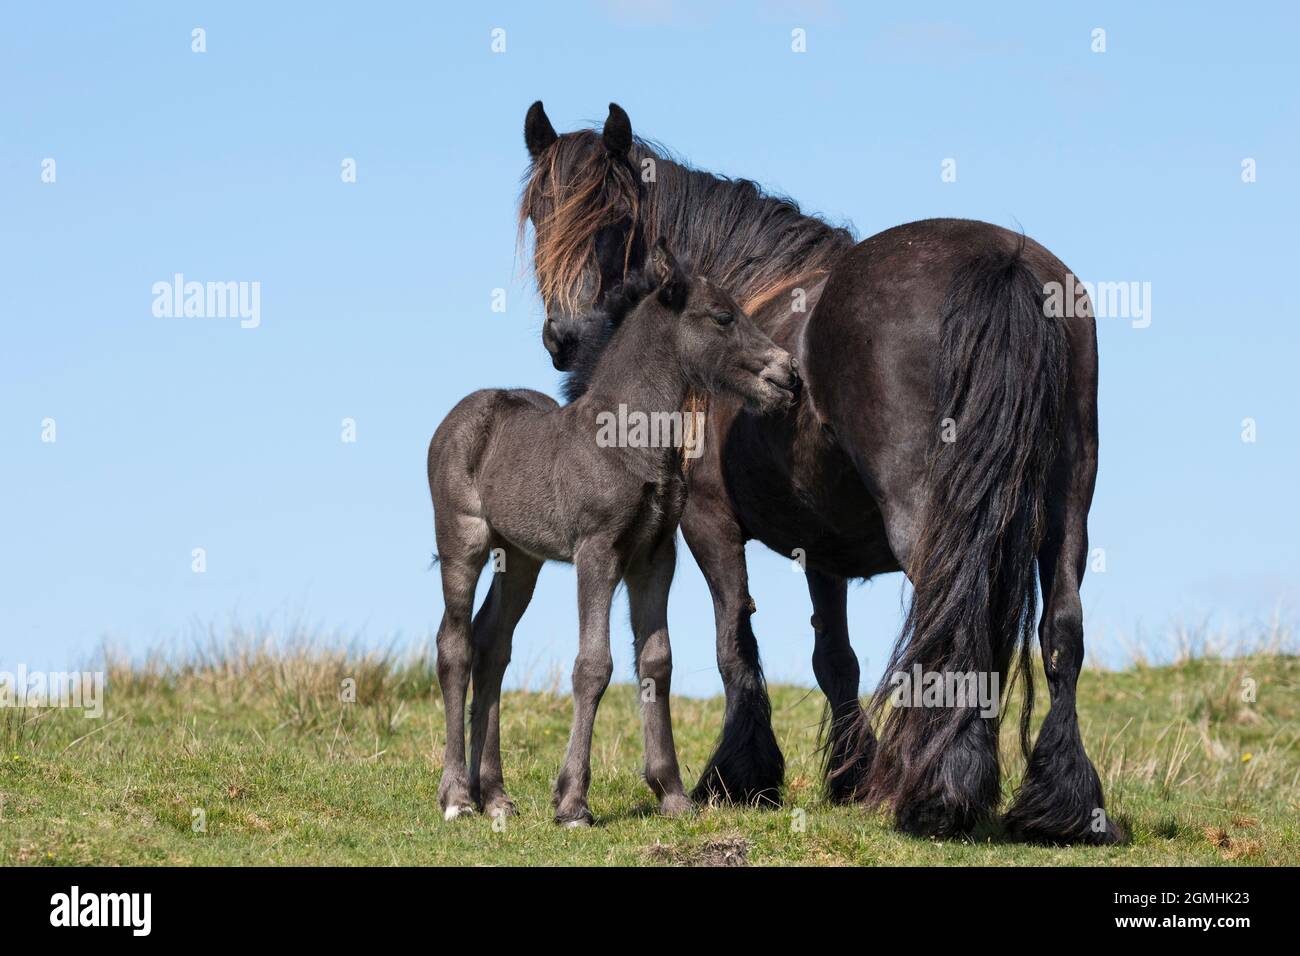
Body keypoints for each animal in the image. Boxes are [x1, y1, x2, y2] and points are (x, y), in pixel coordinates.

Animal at [428, 239, 799, 826]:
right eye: (723, 316)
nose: (788, 376)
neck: (628, 439)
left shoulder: (655, 555)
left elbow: (656, 661)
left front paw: (672, 793)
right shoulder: (597, 551)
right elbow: (593, 664)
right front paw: (572, 802)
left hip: (521, 558)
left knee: (492, 644)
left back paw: (496, 796)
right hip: (461, 540)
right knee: (455, 646)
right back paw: (458, 797)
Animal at [516, 101, 1121, 844]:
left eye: (614, 218)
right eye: (540, 212)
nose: (564, 339)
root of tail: (1000, 262)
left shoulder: (707, 523)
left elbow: (734, 643)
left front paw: (741, 775)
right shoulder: (823, 550)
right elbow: (835, 658)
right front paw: (849, 774)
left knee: (955, 613)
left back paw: (939, 791)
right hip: (1069, 507)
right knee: (1061, 631)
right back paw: (1063, 805)